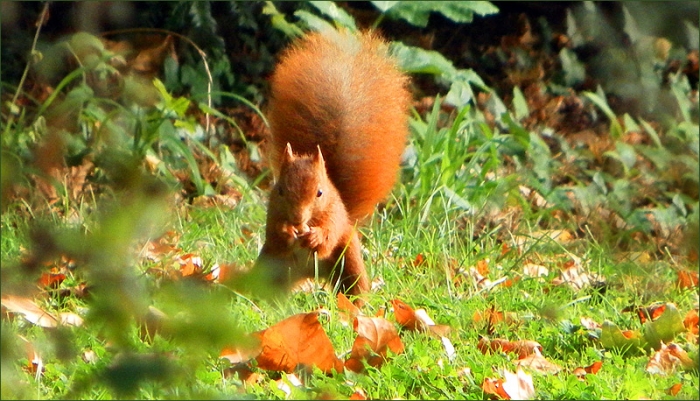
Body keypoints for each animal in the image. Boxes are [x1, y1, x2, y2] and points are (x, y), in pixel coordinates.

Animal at [254, 29, 411, 300]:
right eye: (281, 190)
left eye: (320, 192)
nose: (298, 218)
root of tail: (307, 274)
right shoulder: (273, 210)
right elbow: (274, 232)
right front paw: (286, 231)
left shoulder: (335, 212)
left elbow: (330, 232)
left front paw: (316, 236)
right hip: (269, 267)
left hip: (349, 259)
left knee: (353, 285)